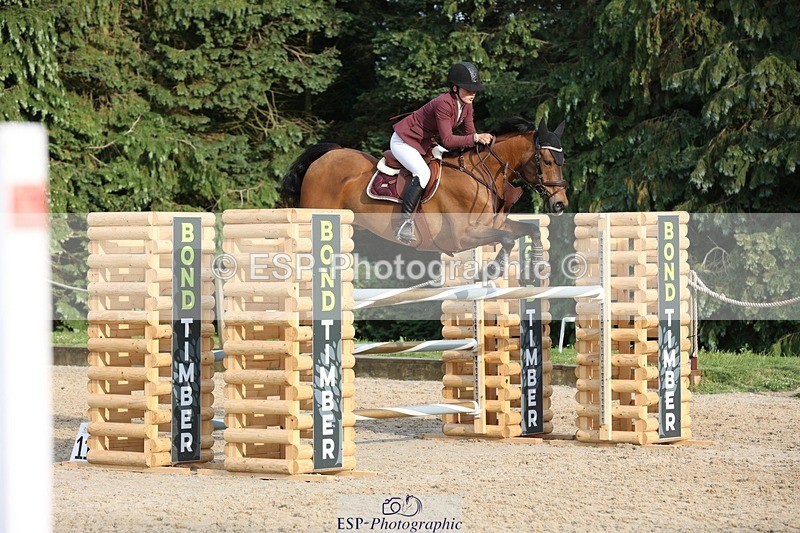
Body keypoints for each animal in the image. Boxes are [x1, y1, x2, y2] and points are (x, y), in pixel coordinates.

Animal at [280, 117, 568, 280]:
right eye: (548, 161)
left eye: (562, 161)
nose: (560, 204)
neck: (478, 174)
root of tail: (327, 156)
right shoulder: (461, 236)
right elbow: (508, 237)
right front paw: (492, 270)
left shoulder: (490, 225)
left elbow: (527, 229)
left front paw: (537, 264)